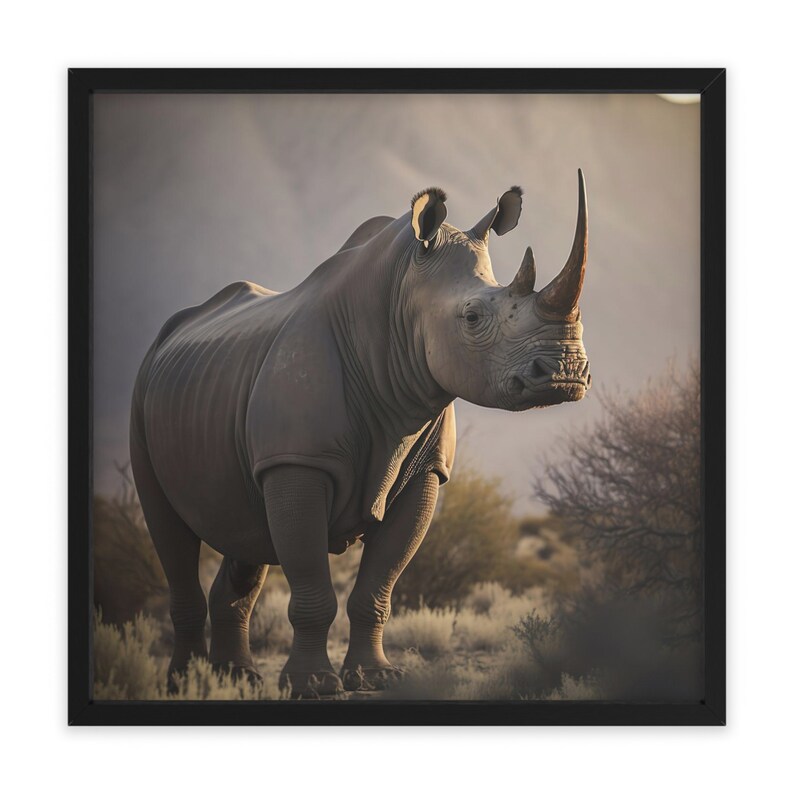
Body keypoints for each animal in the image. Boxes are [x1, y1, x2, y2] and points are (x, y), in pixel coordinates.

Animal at [130, 171, 591, 697]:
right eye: (472, 317)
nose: (566, 374)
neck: (397, 301)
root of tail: (168, 336)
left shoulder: (425, 471)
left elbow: (378, 586)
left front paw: (376, 677)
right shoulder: (299, 460)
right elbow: (312, 585)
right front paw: (312, 685)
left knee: (243, 530)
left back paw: (239, 679)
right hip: (144, 392)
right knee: (171, 530)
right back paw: (185, 683)